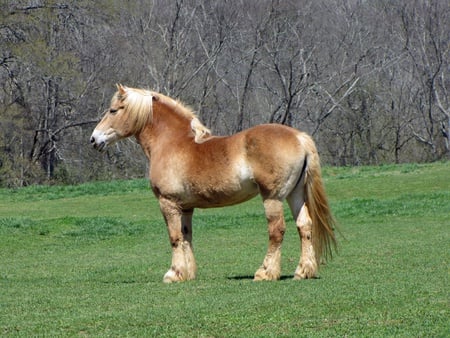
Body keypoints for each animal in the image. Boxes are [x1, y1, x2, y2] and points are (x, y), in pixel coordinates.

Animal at [90, 84, 338, 282]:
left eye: (113, 110)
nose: (94, 139)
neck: (172, 142)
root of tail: (299, 138)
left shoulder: (167, 202)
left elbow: (174, 237)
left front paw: (173, 274)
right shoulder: (186, 207)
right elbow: (186, 237)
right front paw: (188, 273)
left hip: (273, 198)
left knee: (277, 231)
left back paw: (265, 273)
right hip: (295, 195)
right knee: (304, 227)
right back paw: (303, 271)